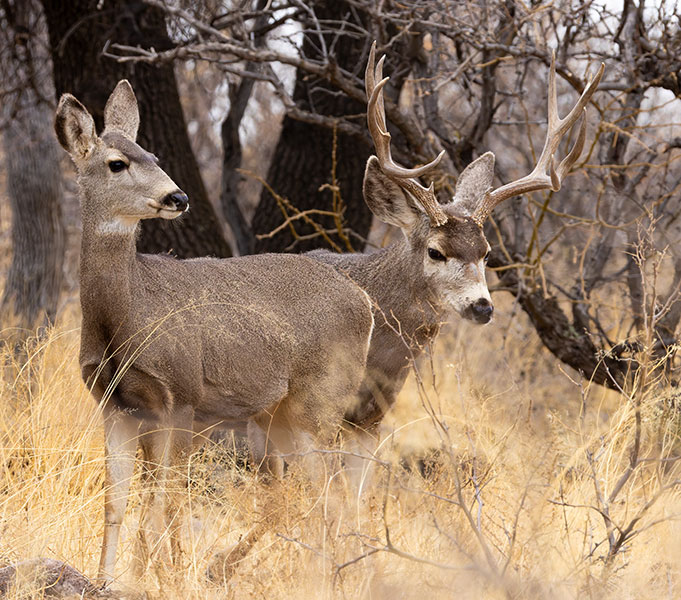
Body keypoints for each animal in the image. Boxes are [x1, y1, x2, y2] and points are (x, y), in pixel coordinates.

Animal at [54, 80, 375, 584]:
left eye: (155, 156)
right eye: (117, 162)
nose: (178, 198)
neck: (125, 318)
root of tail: (364, 301)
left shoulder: (181, 395)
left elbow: (163, 497)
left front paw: (156, 578)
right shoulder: (115, 405)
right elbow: (117, 500)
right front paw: (107, 580)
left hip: (320, 402)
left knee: (334, 490)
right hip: (278, 415)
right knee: (315, 490)